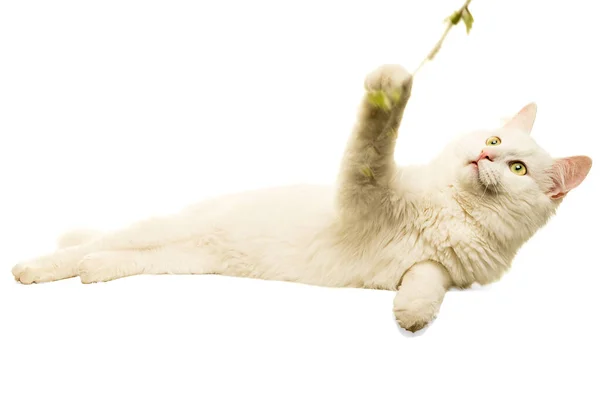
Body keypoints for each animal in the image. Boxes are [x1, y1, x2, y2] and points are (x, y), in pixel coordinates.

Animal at [11, 65, 592, 332]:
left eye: (517, 168)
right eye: (493, 140)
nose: (485, 156)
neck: (454, 211)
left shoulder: (443, 268)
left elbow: (426, 283)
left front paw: (410, 315)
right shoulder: (364, 193)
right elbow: (373, 140)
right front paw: (393, 84)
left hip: (181, 258)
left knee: (109, 257)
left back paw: (92, 272)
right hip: (164, 231)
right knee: (83, 247)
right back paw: (30, 270)